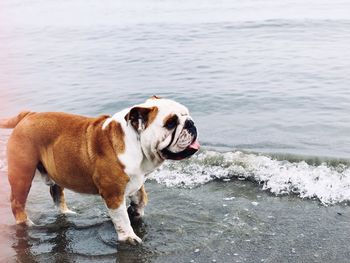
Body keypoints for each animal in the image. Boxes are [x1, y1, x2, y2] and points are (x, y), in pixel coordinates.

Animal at [0, 97, 200, 245]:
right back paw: (27, 224)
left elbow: (141, 198)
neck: (137, 144)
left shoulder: (136, 180)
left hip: (54, 174)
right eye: (171, 123)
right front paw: (129, 237)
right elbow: (121, 219)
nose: (190, 123)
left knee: (57, 194)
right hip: (22, 174)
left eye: (186, 114)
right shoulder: (113, 194)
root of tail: (27, 115)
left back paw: (67, 213)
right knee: (17, 203)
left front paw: (135, 210)